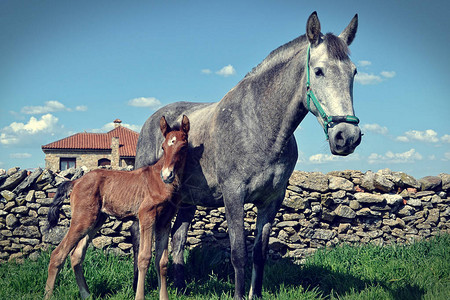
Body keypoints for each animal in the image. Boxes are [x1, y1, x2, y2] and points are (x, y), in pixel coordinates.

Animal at [46, 115, 191, 300]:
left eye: (183, 146)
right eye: (163, 147)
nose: (167, 175)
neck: (162, 184)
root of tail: (76, 181)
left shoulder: (165, 221)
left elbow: (162, 262)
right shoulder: (146, 215)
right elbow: (144, 257)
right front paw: (139, 296)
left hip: (96, 220)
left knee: (76, 255)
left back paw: (86, 294)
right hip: (82, 220)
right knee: (58, 254)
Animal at [132, 11, 360, 300]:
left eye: (354, 72)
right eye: (319, 71)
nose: (347, 136)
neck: (258, 125)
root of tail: (153, 121)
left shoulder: (271, 200)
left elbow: (259, 254)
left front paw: (256, 294)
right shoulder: (234, 195)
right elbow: (239, 253)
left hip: (186, 201)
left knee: (178, 238)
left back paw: (180, 287)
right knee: (138, 234)